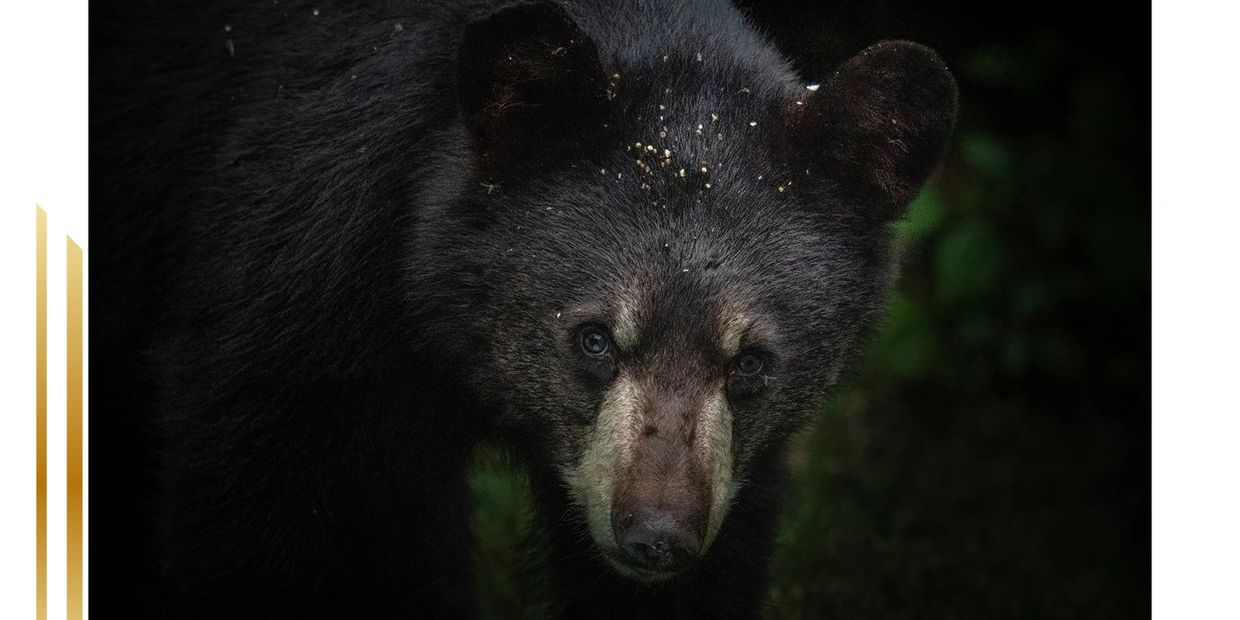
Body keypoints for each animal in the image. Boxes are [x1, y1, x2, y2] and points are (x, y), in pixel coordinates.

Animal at [89, 0, 957, 617]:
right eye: (595, 339)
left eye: (750, 361)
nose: (657, 538)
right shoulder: (292, 282)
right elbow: (256, 511)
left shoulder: (733, 469)